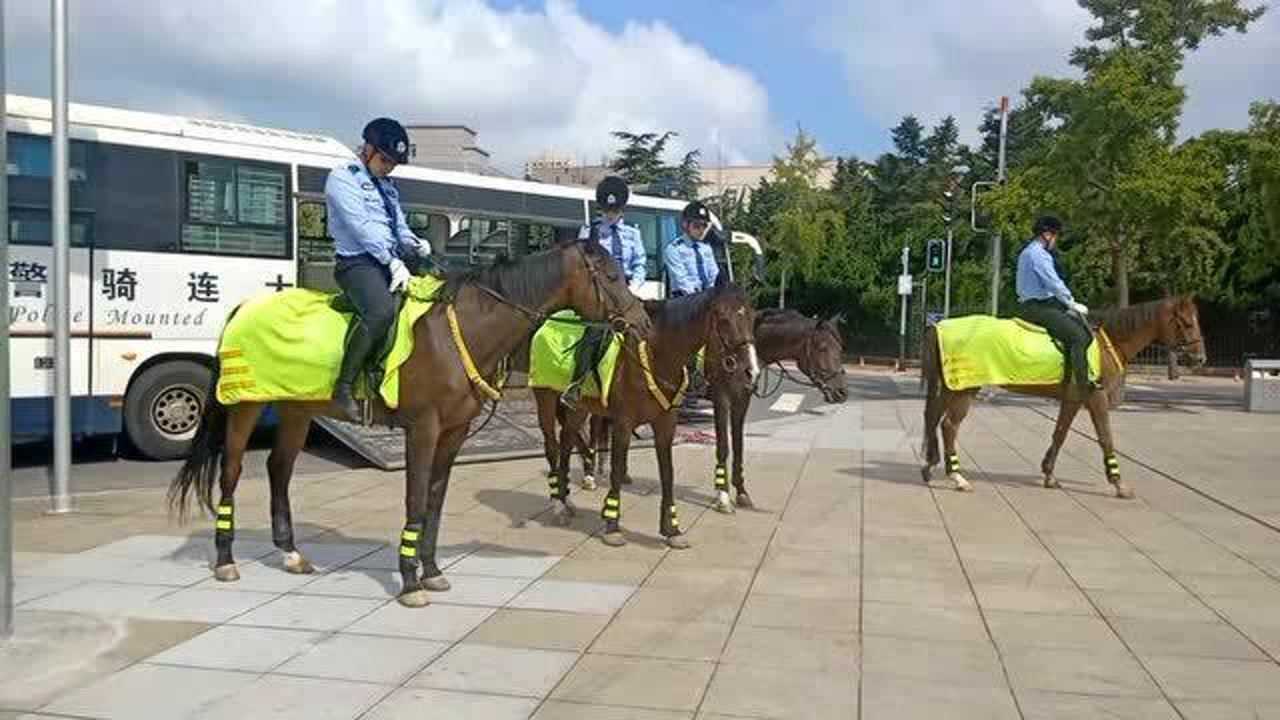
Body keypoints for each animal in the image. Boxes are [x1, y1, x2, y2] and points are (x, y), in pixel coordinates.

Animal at [168, 239, 650, 604]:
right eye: (611, 276)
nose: (643, 322)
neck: (463, 331)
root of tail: (243, 307)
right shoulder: (423, 429)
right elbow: (415, 499)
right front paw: (411, 580)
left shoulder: (453, 433)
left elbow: (434, 501)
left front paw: (431, 569)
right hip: (246, 407)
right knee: (232, 472)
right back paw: (226, 560)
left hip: (296, 408)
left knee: (279, 468)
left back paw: (290, 553)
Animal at [532, 279, 757, 543]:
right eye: (723, 318)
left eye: (751, 317)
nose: (750, 371)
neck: (656, 355)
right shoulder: (623, 422)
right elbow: (617, 468)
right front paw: (612, 524)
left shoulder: (666, 423)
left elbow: (667, 473)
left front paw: (672, 529)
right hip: (545, 397)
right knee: (553, 445)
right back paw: (558, 503)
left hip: (579, 407)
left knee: (568, 441)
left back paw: (565, 498)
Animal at [706, 307, 844, 509]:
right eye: (822, 348)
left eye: (841, 349)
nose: (842, 392)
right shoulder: (721, 397)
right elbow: (723, 445)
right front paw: (723, 496)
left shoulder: (742, 399)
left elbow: (738, 443)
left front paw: (741, 492)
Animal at [921, 294, 1208, 497]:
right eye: (1187, 323)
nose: (1200, 359)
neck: (1108, 342)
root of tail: (939, 327)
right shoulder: (1095, 398)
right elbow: (1105, 437)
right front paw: (1118, 483)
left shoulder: (1073, 399)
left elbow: (1060, 433)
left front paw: (1049, 474)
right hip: (965, 389)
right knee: (949, 425)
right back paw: (957, 477)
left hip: (951, 386)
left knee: (933, 417)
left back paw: (929, 465)